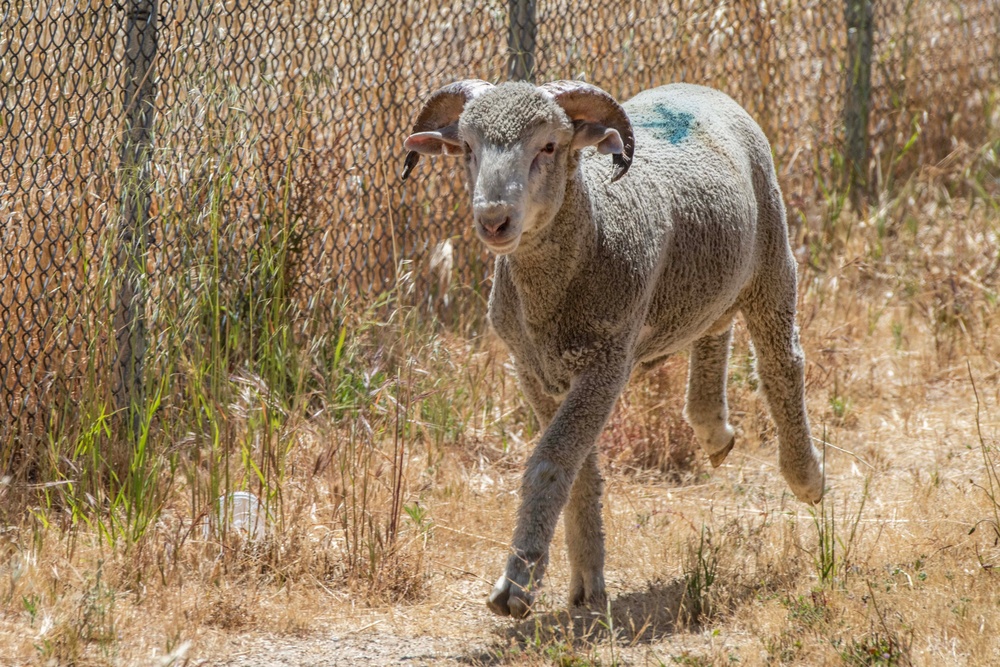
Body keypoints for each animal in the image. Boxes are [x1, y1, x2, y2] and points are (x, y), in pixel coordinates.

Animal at [402, 79, 824, 620]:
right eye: (469, 149)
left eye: (549, 146)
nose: (493, 219)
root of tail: (699, 86)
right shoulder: (532, 371)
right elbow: (579, 470)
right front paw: (586, 580)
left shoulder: (606, 363)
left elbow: (551, 462)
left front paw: (517, 583)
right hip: (709, 272)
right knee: (714, 326)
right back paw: (712, 427)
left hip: (773, 256)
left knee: (782, 363)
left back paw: (807, 476)